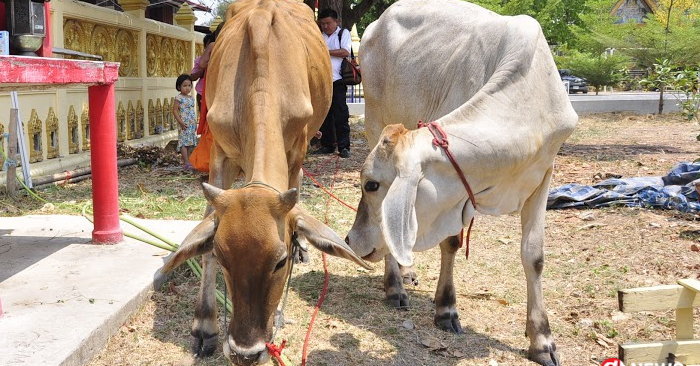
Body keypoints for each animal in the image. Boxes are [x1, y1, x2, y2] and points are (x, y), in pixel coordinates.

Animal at [161, 1, 370, 364]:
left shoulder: (297, 149)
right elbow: (208, 229)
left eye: (279, 261)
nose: (246, 352)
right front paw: (204, 326)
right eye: (223, 257)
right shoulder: (219, 152)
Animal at [346, 0, 580, 366]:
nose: (350, 240)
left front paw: (542, 340)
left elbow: (534, 255)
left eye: (371, 185)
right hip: (373, 118)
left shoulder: (543, 175)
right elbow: (451, 243)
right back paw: (396, 286)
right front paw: (446, 310)